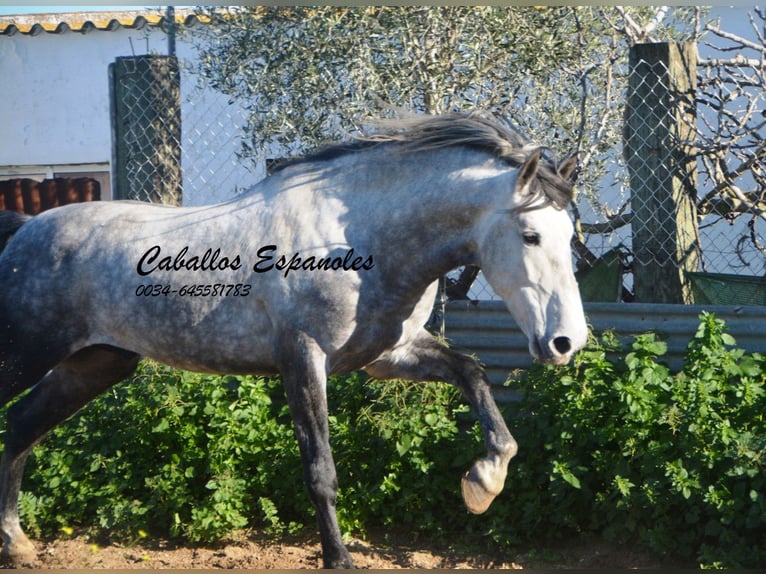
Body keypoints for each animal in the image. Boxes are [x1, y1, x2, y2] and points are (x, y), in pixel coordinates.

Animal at [0, 115, 588, 568]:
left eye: (570, 235)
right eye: (531, 235)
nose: (566, 342)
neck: (358, 237)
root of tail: (24, 230)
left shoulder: (390, 355)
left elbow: (472, 372)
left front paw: (483, 482)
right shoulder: (303, 357)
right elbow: (320, 470)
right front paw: (339, 559)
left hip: (96, 364)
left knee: (23, 425)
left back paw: (18, 544)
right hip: (28, 355)